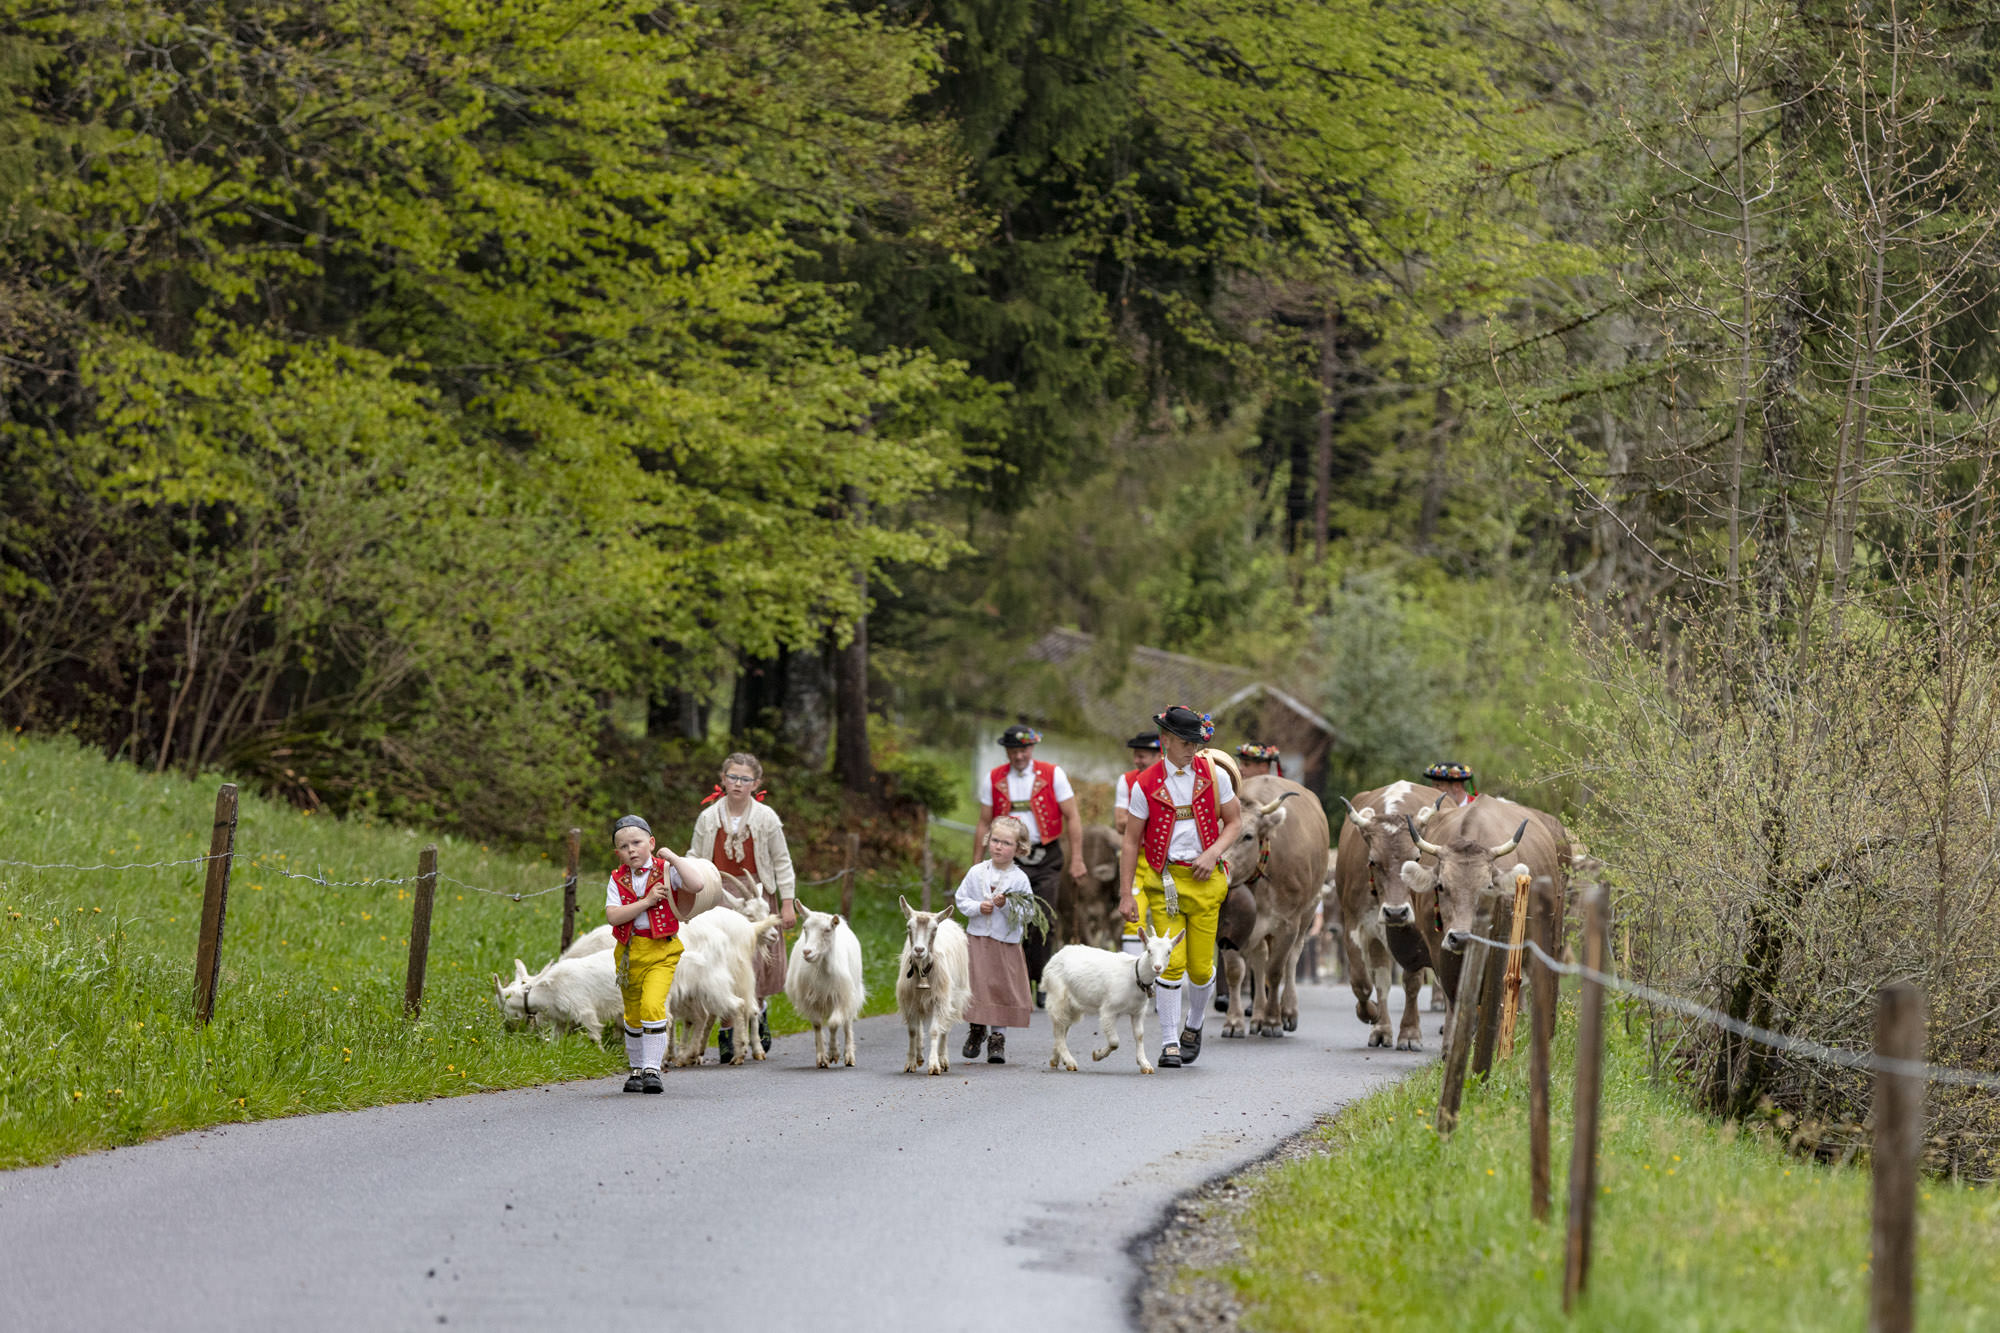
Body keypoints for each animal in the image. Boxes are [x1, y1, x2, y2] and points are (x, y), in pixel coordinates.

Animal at [784, 898, 866, 1069]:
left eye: (827, 930)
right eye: (804, 928)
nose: (807, 952)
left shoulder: (841, 996)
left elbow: (834, 1023)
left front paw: (834, 1053)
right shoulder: (810, 999)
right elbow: (817, 1024)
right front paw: (822, 1057)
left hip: (852, 992)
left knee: (847, 1022)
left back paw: (849, 1056)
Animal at [894, 895, 968, 1075]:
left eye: (934, 929)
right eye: (909, 926)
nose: (919, 950)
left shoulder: (939, 999)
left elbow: (935, 1030)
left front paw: (934, 1065)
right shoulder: (909, 1000)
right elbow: (912, 1031)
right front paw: (911, 1062)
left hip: (954, 997)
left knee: (945, 1028)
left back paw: (943, 1060)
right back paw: (920, 1055)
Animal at [1042, 920, 1185, 1074]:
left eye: (1169, 952)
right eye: (1149, 950)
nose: (1157, 967)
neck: (1134, 975)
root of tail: (1053, 959)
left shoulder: (1138, 1012)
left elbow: (1139, 1035)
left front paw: (1145, 1064)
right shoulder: (1109, 1010)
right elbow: (1115, 1042)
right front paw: (1097, 1054)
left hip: (1072, 1005)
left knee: (1063, 1028)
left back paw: (1055, 1060)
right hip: (1057, 995)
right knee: (1059, 1028)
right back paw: (1070, 1062)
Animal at [1214, 774, 1332, 1038]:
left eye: (1247, 836)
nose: (1221, 871)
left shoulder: (1288, 923)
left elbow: (1276, 970)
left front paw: (1272, 1021)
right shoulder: (1229, 925)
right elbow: (1236, 971)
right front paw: (1234, 1022)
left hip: (1307, 914)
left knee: (1291, 960)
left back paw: (1287, 1012)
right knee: (1259, 960)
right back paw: (1257, 1016)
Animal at [1332, 781, 1446, 1049]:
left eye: (1416, 858)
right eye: (1373, 861)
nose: (1395, 912)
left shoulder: (1416, 933)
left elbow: (1412, 982)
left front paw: (1410, 1033)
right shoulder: (1355, 925)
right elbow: (1363, 982)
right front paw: (1372, 1015)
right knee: (1381, 977)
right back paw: (1382, 1028)